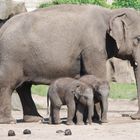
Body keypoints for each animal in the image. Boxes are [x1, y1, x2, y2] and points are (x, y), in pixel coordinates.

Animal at [0, 4, 140, 123]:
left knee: (24, 87)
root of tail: (3, 28)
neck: (110, 13)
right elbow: (96, 74)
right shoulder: (93, 48)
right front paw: (97, 119)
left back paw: (35, 119)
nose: (133, 117)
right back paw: (9, 121)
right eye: (138, 39)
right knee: (8, 84)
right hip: (11, 57)